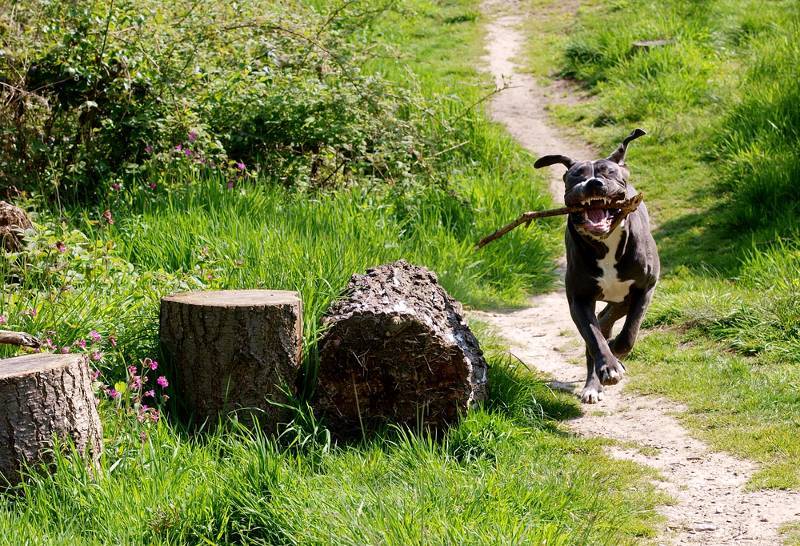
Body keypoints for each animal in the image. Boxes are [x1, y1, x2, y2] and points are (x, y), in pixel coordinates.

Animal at [533, 129, 659, 403]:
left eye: (608, 172)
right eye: (576, 176)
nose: (592, 183)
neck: (606, 243)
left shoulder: (644, 289)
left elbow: (629, 335)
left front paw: (616, 353)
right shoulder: (579, 299)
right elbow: (593, 338)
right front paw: (608, 367)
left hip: (624, 299)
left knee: (608, 319)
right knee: (597, 331)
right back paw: (593, 385)